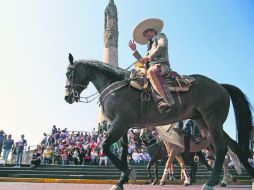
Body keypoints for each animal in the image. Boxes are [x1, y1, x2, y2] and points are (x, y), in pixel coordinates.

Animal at [64, 54, 253, 189]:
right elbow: (122, 150)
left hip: (212, 120)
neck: (116, 86)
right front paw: (121, 180)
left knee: (222, 148)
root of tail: (221, 85)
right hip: (204, 121)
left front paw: (129, 173)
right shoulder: (122, 125)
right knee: (233, 146)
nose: (67, 97)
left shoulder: (121, 122)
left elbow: (105, 146)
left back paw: (211, 182)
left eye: (68, 72)